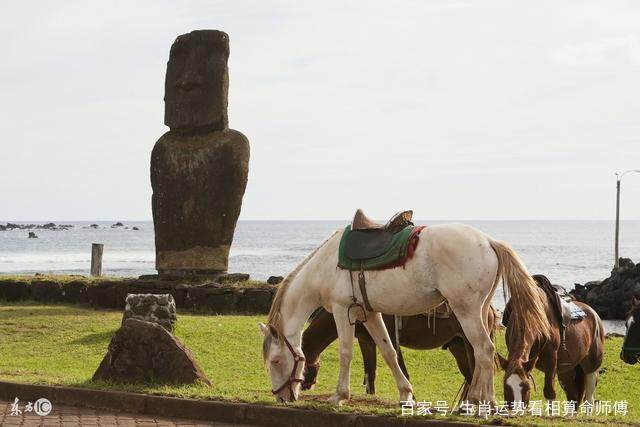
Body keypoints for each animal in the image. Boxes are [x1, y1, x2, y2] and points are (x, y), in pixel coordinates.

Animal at [302, 306, 498, 400]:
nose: (305, 386)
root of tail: (489, 309)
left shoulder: (390, 337)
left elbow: (402, 370)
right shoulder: (366, 342)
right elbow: (370, 373)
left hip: (471, 346)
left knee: (476, 375)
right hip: (458, 348)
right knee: (471, 378)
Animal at [500, 276, 604, 406]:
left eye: (527, 388)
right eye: (505, 387)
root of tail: (595, 315)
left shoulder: (551, 359)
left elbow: (549, 393)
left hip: (592, 367)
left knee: (589, 398)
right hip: (567, 371)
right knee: (573, 397)